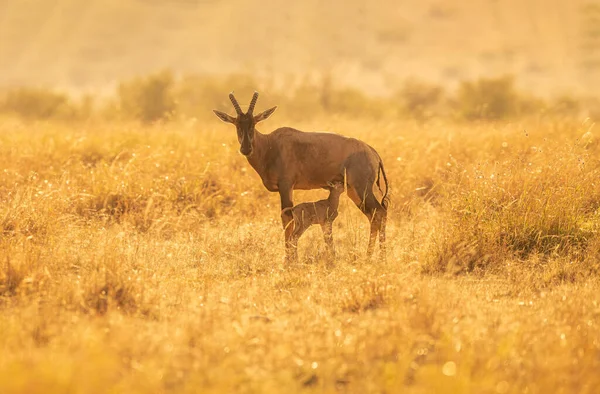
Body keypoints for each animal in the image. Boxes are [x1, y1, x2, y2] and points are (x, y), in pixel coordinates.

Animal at [213, 92, 392, 264]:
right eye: (237, 124)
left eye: (254, 123)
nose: (246, 149)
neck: (271, 145)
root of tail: (373, 152)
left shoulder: (286, 186)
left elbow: (287, 219)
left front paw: (289, 261)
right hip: (353, 191)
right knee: (373, 215)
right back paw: (370, 257)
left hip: (362, 188)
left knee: (379, 212)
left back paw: (380, 258)